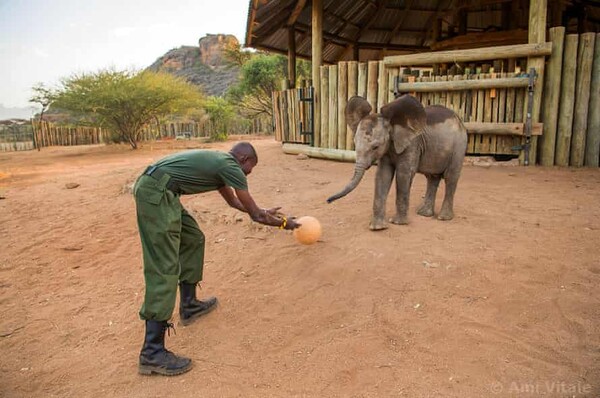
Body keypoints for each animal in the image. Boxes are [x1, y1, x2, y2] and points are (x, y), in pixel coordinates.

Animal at [326, 94, 466, 230]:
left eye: (375, 147)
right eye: (355, 143)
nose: (328, 201)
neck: (392, 123)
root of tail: (459, 120)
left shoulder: (412, 144)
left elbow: (403, 174)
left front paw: (398, 223)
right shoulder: (388, 149)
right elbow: (383, 175)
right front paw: (378, 228)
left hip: (459, 147)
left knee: (450, 177)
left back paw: (443, 218)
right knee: (432, 178)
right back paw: (424, 214)